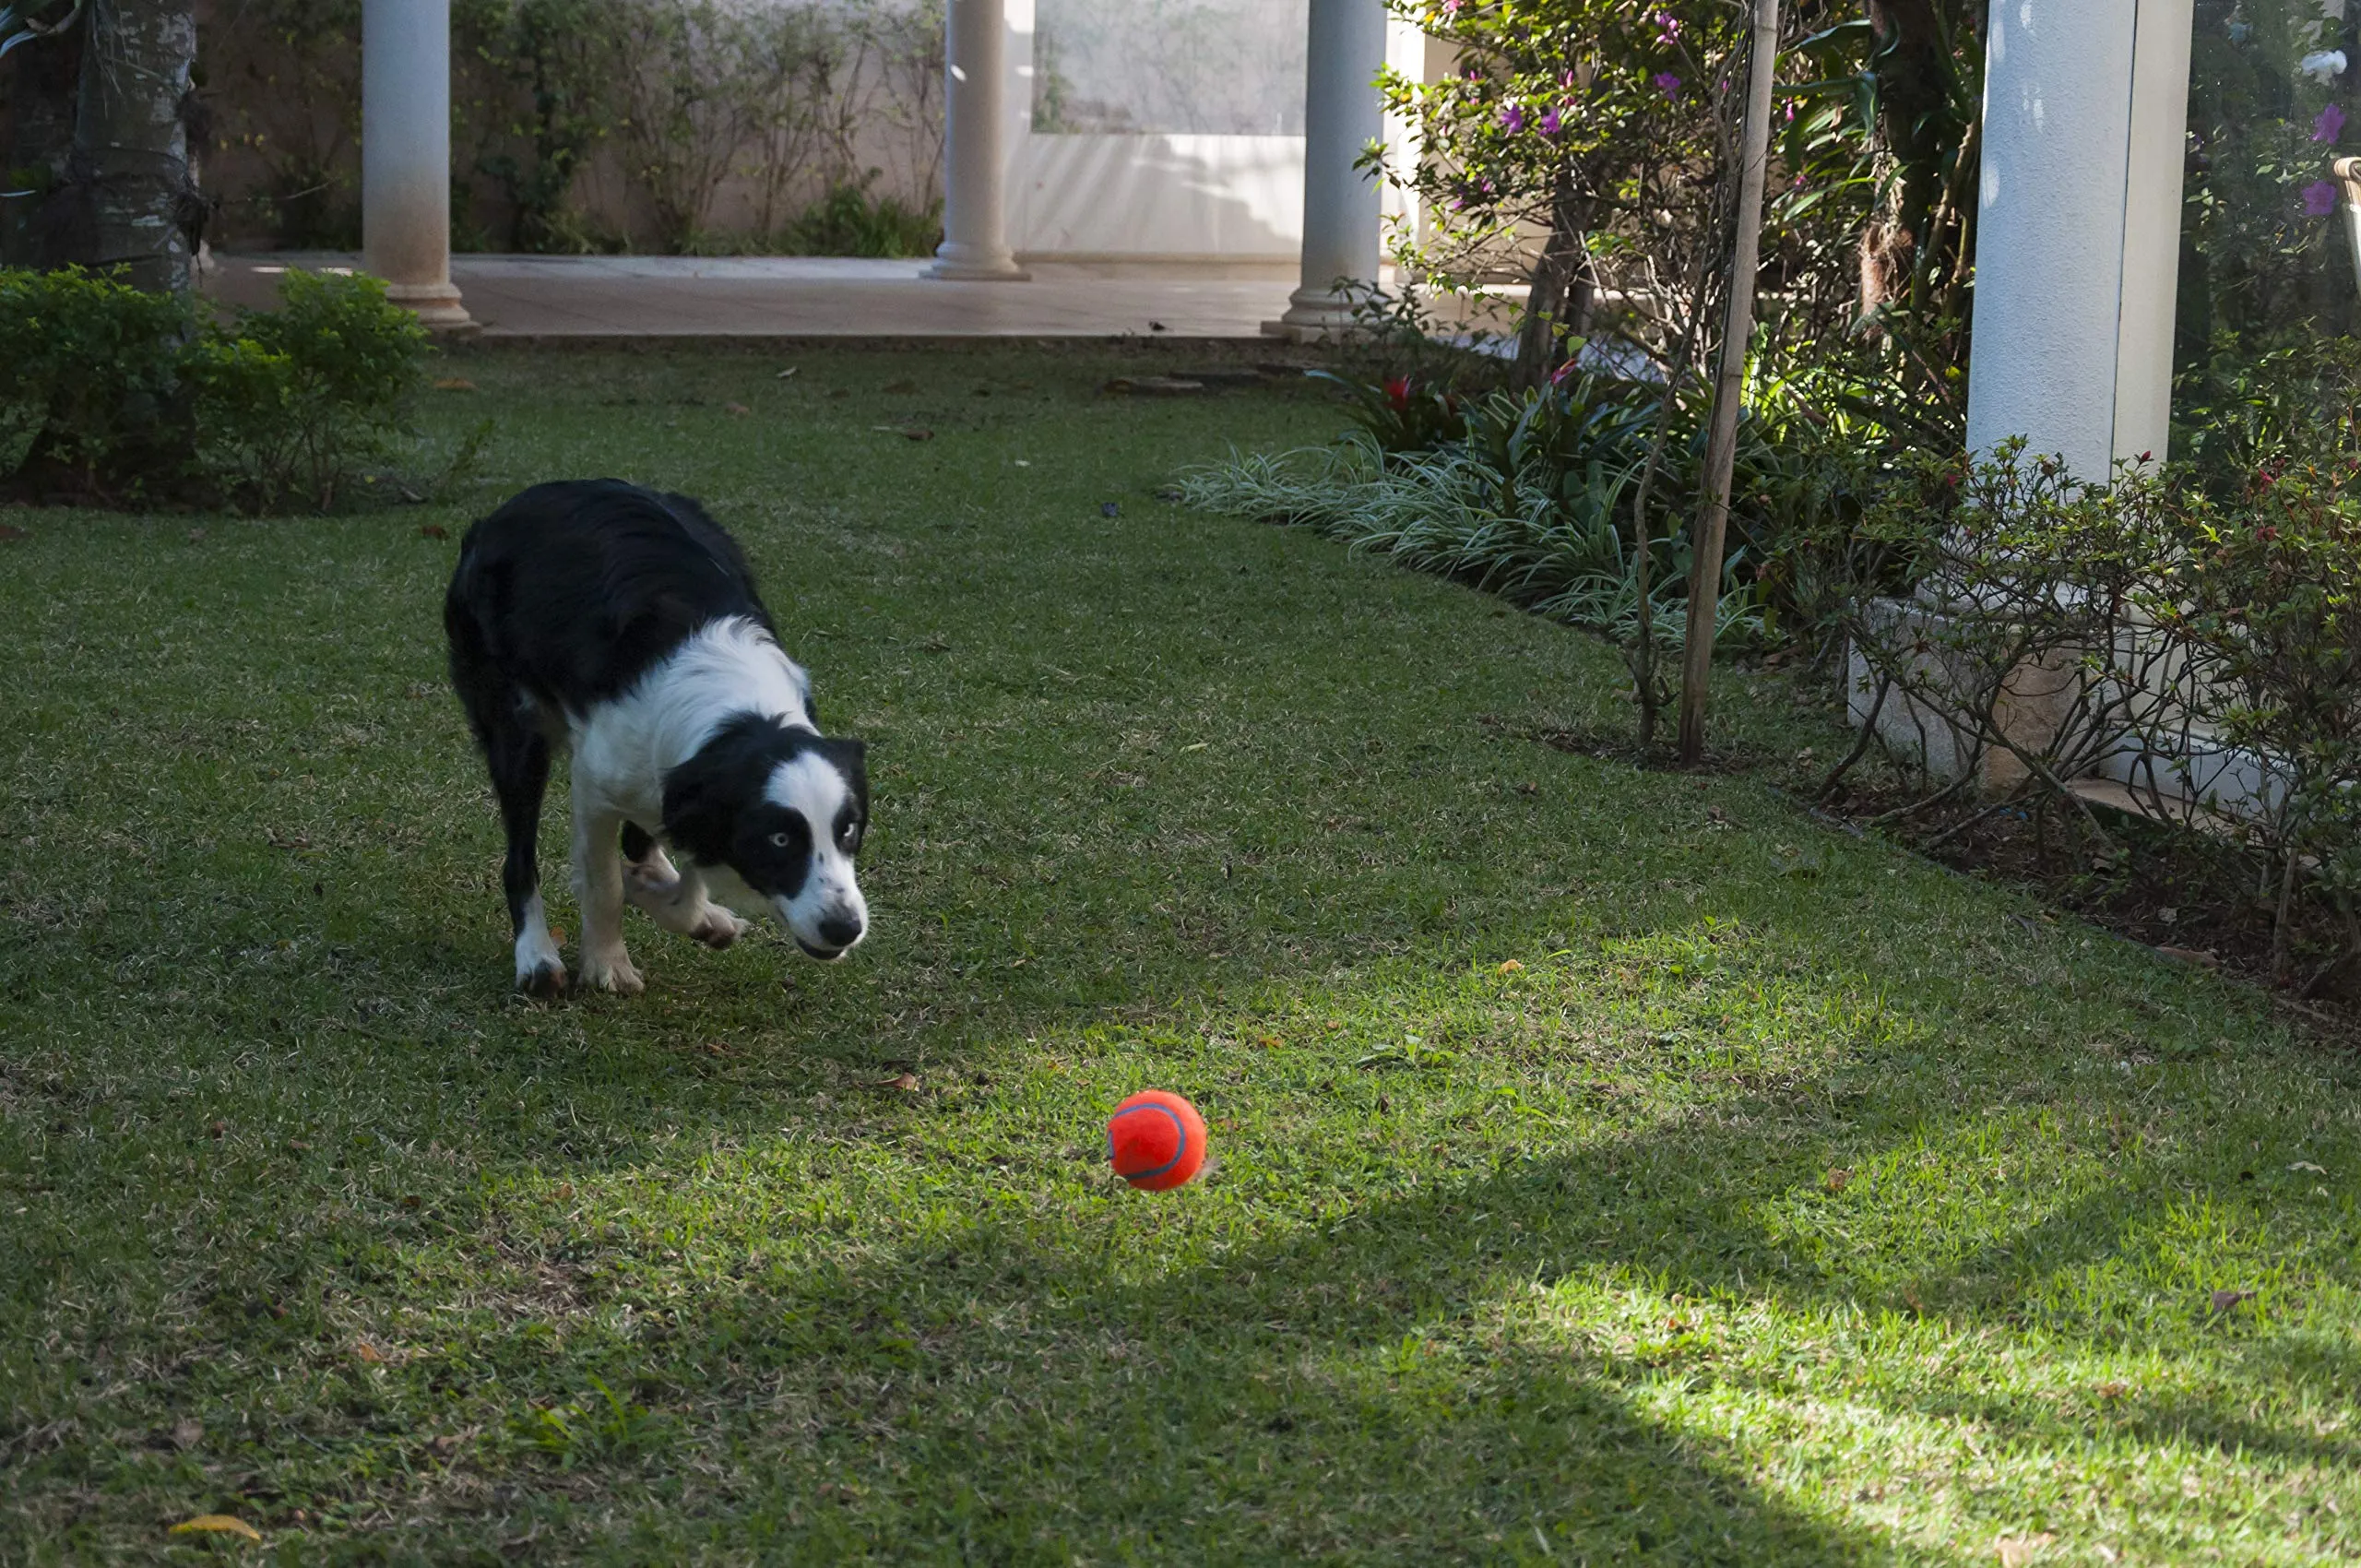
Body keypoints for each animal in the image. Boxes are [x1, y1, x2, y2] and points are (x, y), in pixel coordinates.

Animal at [444, 477, 869, 992]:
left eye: (849, 830)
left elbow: (673, 875)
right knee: (519, 856)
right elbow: (604, 883)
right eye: (780, 840)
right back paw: (537, 956)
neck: (739, 717)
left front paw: (667, 896)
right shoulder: (596, 783)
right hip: (516, 728)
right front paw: (608, 961)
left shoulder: (680, 781)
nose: (845, 927)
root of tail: (515, 504)